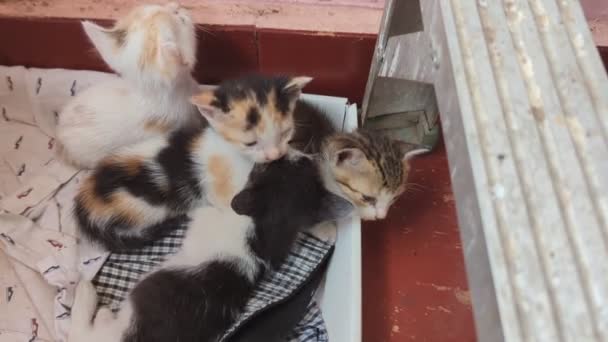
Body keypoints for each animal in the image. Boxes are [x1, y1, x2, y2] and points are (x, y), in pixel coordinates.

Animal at [67, 152, 352, 342]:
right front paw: (326, 228)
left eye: (271, 166)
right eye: (299, 163)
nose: (297, 152)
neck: (265, 229)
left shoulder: (211, 215)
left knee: (83, 332)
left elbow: (205, 205)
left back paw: (90, 299)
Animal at [73, 75, 312, 251]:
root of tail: (84, 200)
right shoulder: (223, 191)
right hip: (139, 208)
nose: (274, 155)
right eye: (251, 143)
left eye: (285, 133)